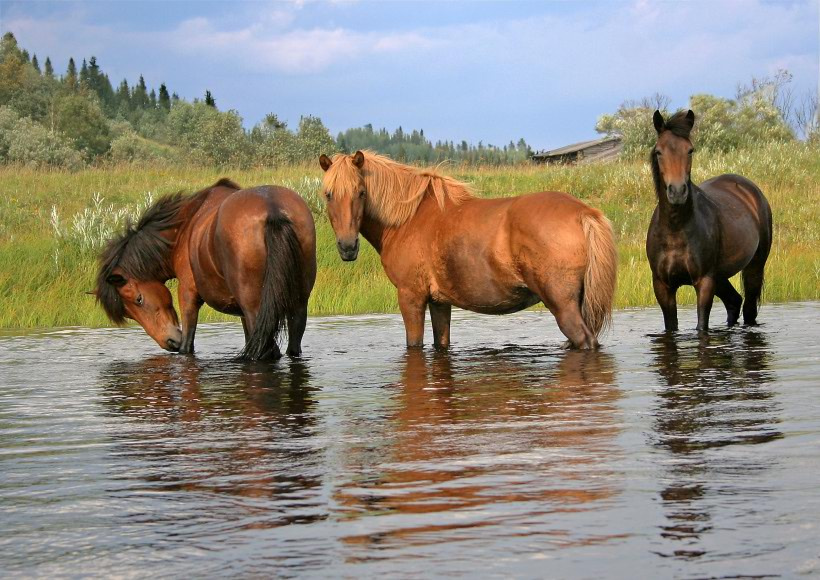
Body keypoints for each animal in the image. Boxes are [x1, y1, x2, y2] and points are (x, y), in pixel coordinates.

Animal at [94, 178, 316, 360]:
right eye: (129, 314)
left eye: (138, 299)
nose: (169, 342)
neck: (183, 228)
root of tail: (273, 209)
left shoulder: (187, 294)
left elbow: (187, 346)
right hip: (297, 305)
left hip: (256, 309)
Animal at [318, 150, 617, 350]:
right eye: (328, 194)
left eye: (361, 192)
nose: (347, 247)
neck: (408, 218)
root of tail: (584, 213)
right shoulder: (439, 302)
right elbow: (441, 344)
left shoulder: (411, 297)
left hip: (562, 305)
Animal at [647, 109, 773, 332]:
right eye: (659, 151)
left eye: (690, 150)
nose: (677, 191)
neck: (675, 229)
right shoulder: (662, 286)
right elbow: (671, 327)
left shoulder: (704, 281)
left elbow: (701, 326)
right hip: (721, 276)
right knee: (734, 302)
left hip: (753, 267)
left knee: (748, 309)